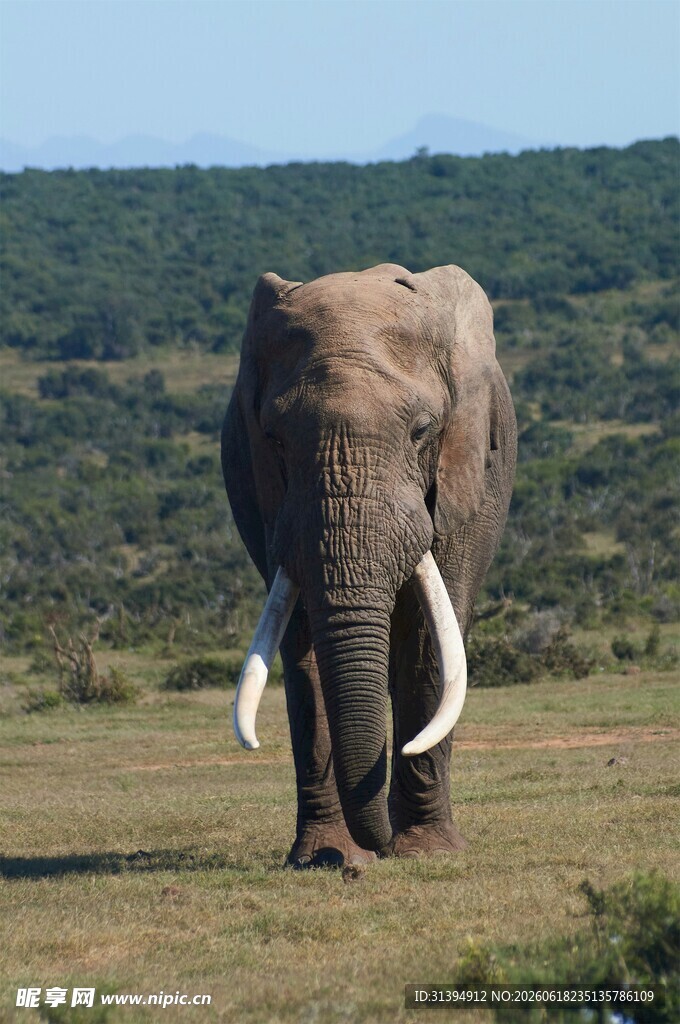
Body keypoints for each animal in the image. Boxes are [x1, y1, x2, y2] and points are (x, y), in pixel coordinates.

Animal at [221, 263, 516, 867]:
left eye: (422, 431)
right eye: (273, 439)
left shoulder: (464, 482)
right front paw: (325, 858)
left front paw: (428, 853)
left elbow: (429, 640)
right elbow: (303, 642)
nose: (378, 851)